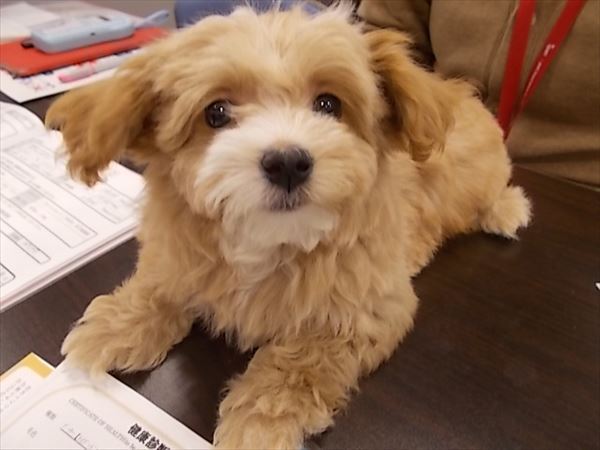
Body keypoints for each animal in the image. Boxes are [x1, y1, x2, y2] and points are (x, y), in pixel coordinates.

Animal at [46, 4, 531, 449]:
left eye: (328, 104)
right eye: (216, 112)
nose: (287, 162)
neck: (272, 239)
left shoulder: (366, 307)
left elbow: (302, 358)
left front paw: (261, 419)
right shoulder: (180, 251)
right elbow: (159, 282)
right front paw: (116, 326)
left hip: (477, 176)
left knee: (491, 193)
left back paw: (506, 210)